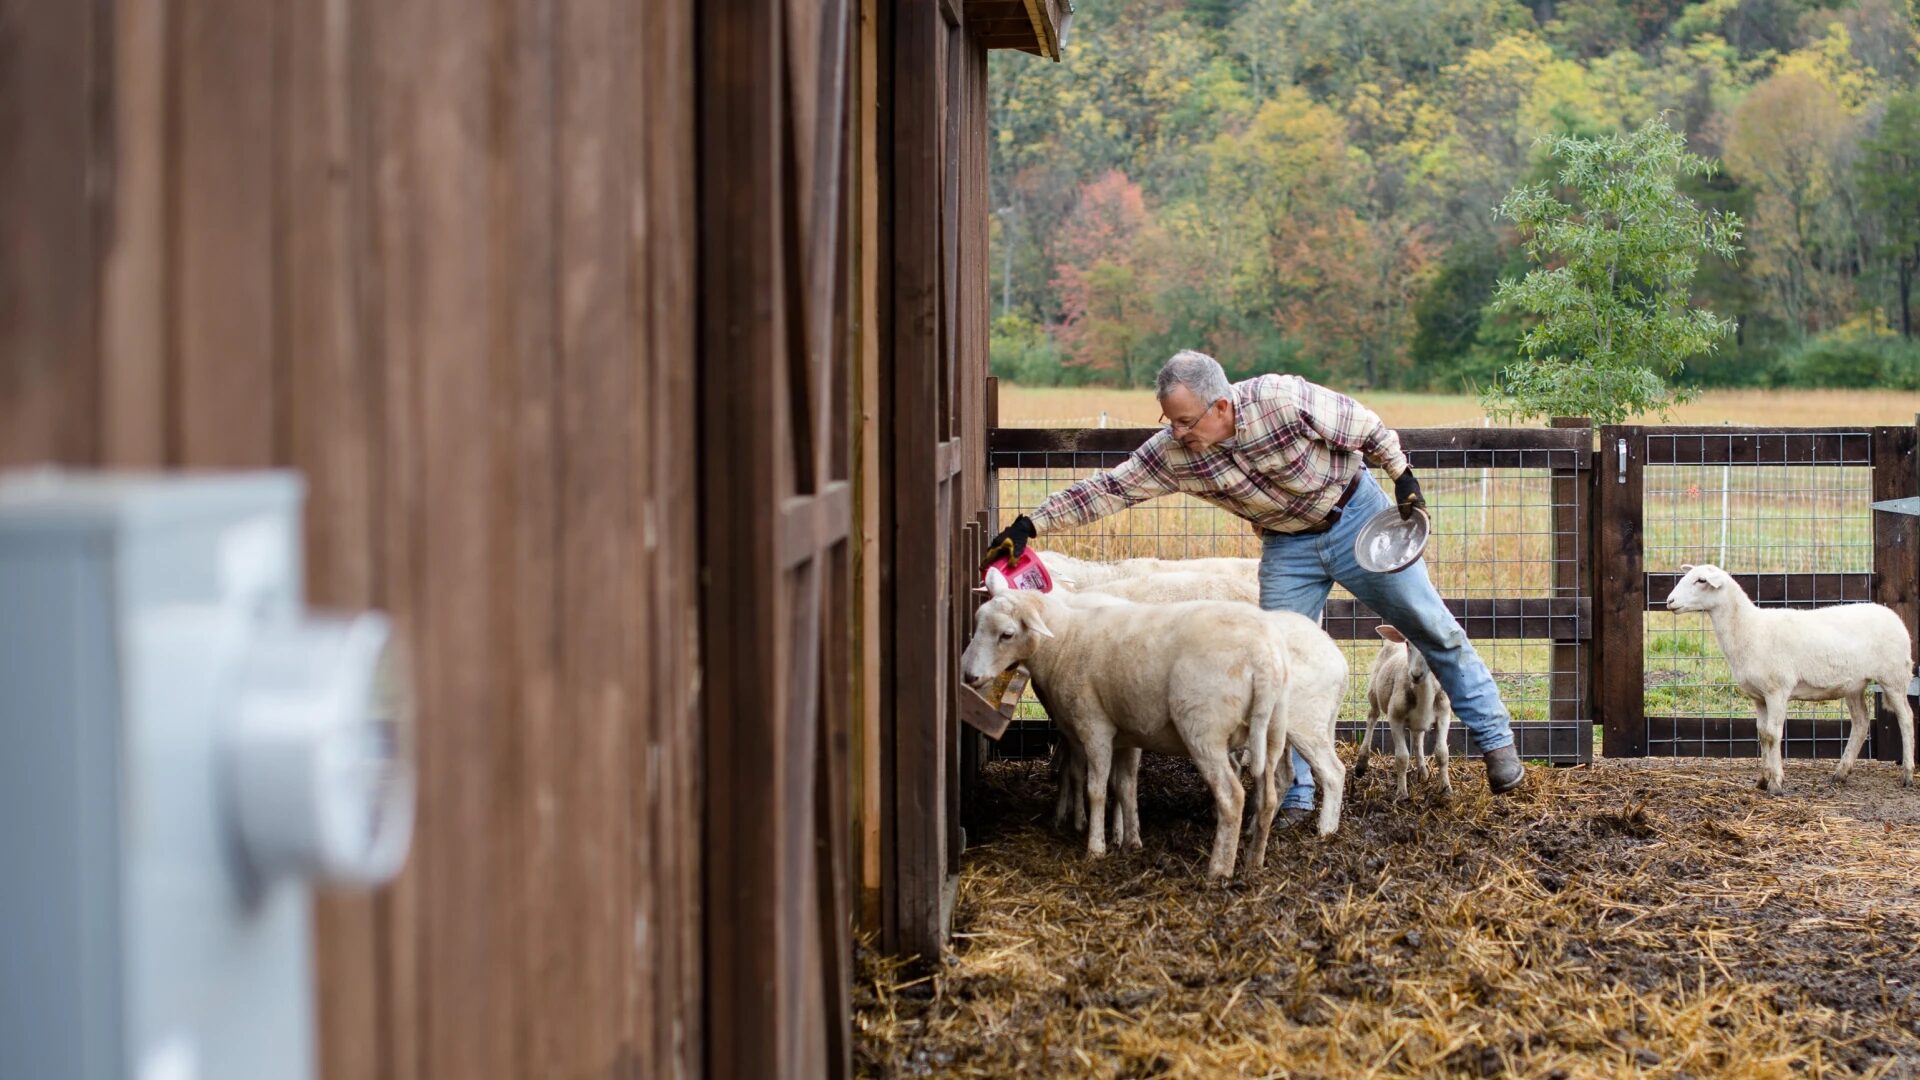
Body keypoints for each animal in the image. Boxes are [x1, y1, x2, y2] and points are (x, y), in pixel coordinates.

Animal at [960, 572, 1336, 876]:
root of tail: (1263, 658)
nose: (969, 676)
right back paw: (1254, 861)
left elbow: (1097, 789)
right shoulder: (1126, 733)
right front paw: (1131, 841)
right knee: (1270, 794)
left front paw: (1096, 848)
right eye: (977, 622)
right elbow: (1125, 787)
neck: (1065, 640)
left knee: (1234, 797)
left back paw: (1220, 870)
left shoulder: (1094, 725)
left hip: (1205, 728)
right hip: (1272, 729)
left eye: (1007, 634)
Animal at [1359, 622, 1443, 799]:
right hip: (1373, 691)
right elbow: (1402, 757)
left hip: (1416, 722)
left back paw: (1423, 772)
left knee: (1417, 738)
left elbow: (1442, 753)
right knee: (1372, 717)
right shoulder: (1395, 717)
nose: (1416, 675)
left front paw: (1446, 790)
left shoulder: (1443, 714)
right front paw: (1402, 794)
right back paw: (1361, 763)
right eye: (1407, 644)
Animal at [1658, 564, 1912, 791]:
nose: (1669, 601)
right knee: (1860, 722)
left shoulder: (1777, 691)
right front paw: (1763, 779)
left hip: (1894, 677)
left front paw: (1776, 783)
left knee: (1906, 718)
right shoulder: (1758, 696)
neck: (1749, 629)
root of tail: (1892, 615)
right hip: (1854, 685)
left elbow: (1773, 734)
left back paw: (1907, 774)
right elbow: (1762, 734)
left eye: (1701, 580)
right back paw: (1841, 773)